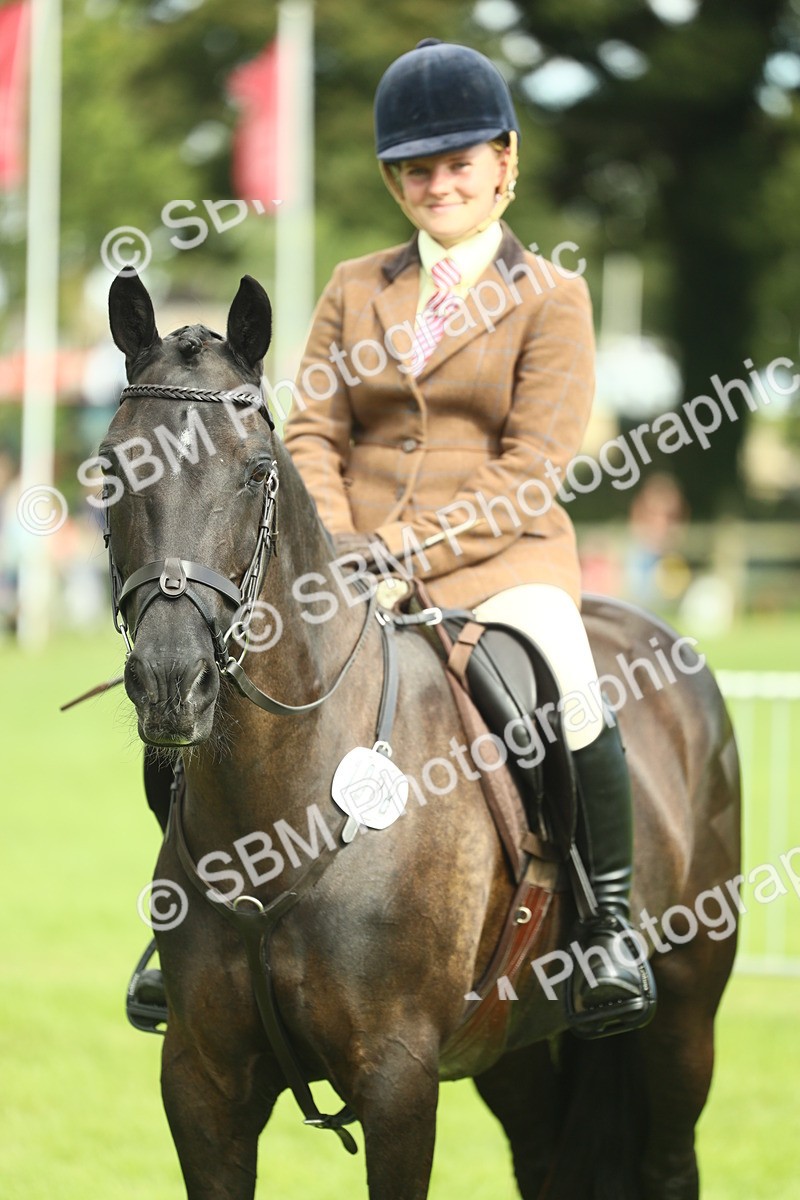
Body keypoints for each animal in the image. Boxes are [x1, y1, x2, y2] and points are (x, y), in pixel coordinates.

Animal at [102, 269, 740, 1200]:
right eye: (111, 468)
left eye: (256, 471)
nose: (171, 681)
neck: (281, 808)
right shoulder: (201, 1085)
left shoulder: (397, 1080)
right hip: (513, 1046)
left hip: (683, 1023)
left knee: (668, 1158)